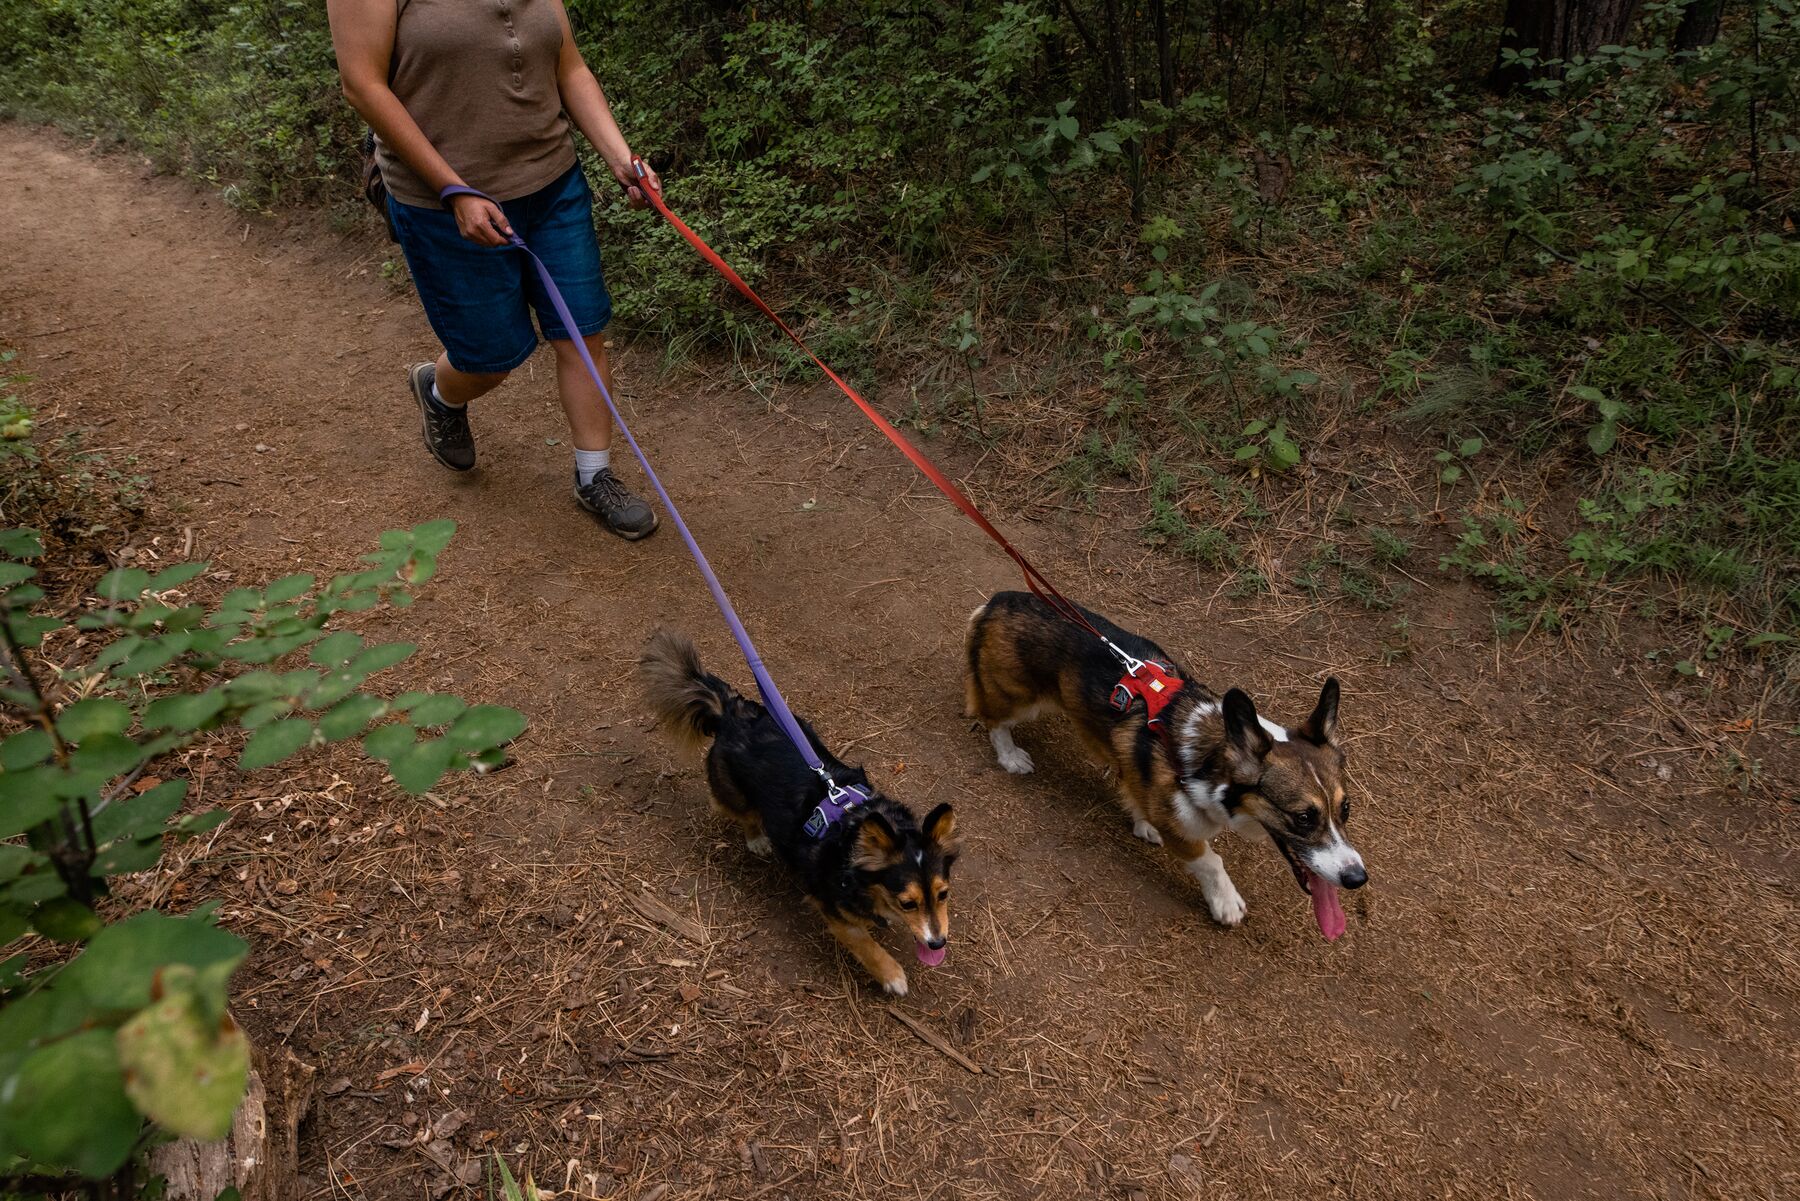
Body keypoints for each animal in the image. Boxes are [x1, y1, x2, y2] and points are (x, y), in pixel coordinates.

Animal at [644, 630, 964, 993]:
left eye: (943, 894)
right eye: (907, 903)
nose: (938, 943)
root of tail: (731, 710)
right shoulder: (833, 909)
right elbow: (865, 944)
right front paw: (892, 975)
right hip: (735, 795)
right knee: (740, 812)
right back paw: (756, 839)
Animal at [972, 590, 1360, 936]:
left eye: (1346, 809)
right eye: (1303, 817)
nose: (1358, 878)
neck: (1206, 765)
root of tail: (998, 601)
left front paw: (1143, 822)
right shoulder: (1185, 830)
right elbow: (1210, 860)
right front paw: (1225, 902)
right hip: (1019, 698)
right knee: (995, 722)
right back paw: (1010, 756)